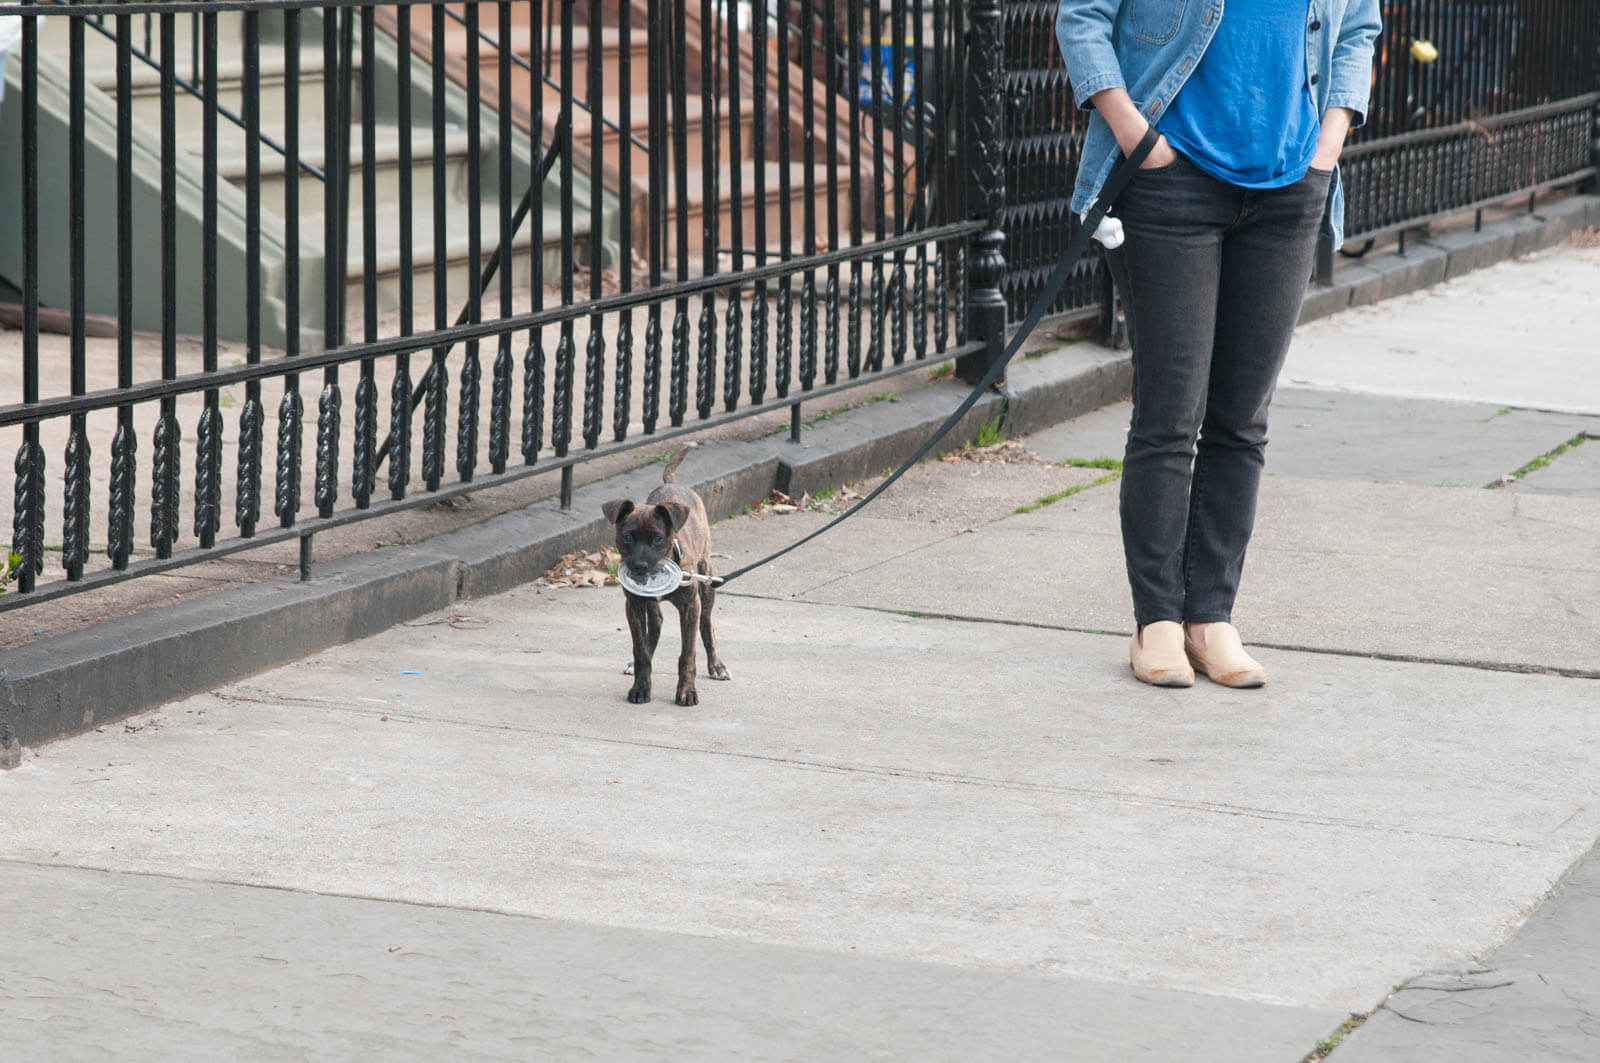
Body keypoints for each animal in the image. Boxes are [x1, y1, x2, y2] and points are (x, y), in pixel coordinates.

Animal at [601, 451, 732, 704]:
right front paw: (640, 688)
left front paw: (686, 692)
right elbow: (640, 651)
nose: (640, 567)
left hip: (706, 578)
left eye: (658, 538)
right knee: (656, 624)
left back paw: (717, 665)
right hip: (649, 603)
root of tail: (672, 483)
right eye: (627, 537)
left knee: (706, 623)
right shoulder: (633, 605)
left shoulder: (690, 607)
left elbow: (687, 655)